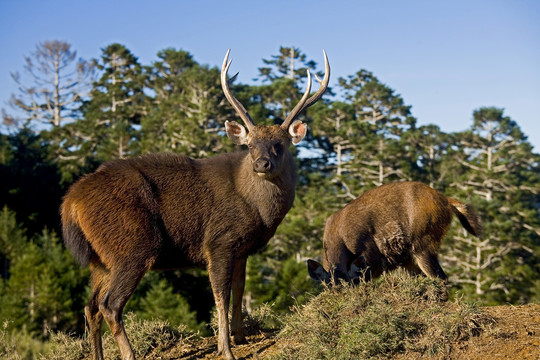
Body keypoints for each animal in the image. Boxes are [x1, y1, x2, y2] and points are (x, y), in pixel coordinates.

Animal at [59, 48, 330, 360]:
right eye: (250, 145)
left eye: (279, 145)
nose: (262, 164)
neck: (259, 211)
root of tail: (70, 202)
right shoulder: (219, 241)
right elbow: (221, 295)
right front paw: (226, 349)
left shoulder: (243, 249)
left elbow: (239, 290)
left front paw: (240, 336)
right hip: (132, 246)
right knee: (110, 305)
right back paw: (130, 354)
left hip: (100, 258)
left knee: (90, 306)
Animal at [308, 181, 480, 286]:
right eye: (328, 287)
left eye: (350, 284)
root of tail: (445, 200)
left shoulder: (372, 259)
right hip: (410, 258)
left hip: (422, 244)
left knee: (441, 279)